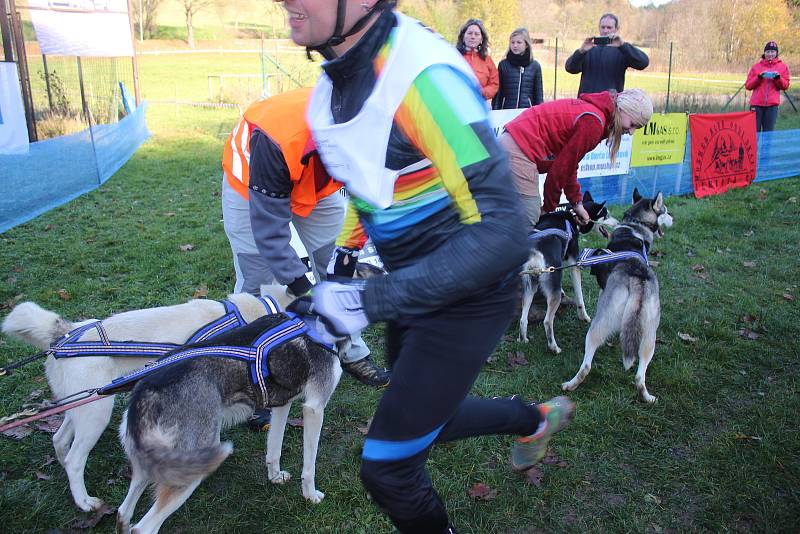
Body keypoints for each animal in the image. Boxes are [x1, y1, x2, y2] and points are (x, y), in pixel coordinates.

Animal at [0, 288, 294, 516]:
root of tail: (65, 334)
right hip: (96, 414)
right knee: (74, 458)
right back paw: (84, 501)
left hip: (83, 408)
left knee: (60, 440)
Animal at [115, 314, 340, 534]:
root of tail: (145, 390)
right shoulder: (314, 408)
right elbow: (309, 467)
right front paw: (310, 496)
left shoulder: (282, 404)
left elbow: (274, 449)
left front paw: (275, 476)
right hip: (187, 470)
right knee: (143, 528)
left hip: (154, 465)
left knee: (123, 512)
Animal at [520, 191, 620, 354]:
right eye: (606, 215)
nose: (618, 223)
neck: (574, 217)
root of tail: (536, 252)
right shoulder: (575, 264)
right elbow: (580, 297)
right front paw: (584, 317)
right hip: (550, 289)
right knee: (547, 321)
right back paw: (554, 347)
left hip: (530, 286)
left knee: (523, 319)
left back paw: (523, 339)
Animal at [564, 188, 676, 402]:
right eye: (665, 210)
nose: (673, 218)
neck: (635, 224)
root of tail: (638, 280)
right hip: (650, 338)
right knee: (640, 376)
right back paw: (647, 397)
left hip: (598, 327)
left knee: (586, 366)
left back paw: (570, 385)